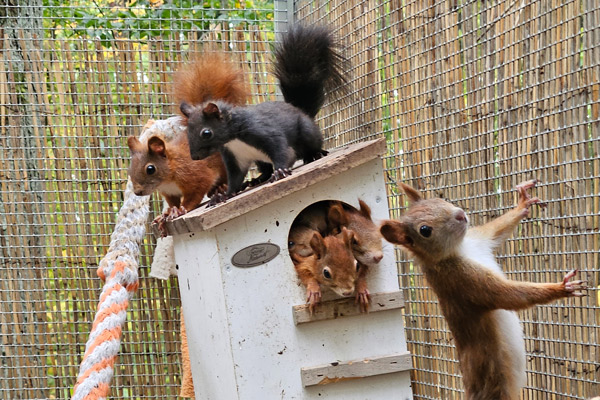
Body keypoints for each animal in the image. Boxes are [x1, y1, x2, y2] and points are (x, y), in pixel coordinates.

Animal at [126, 51, 248, 233]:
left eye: (150, 169)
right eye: (130, 168)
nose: (137, 192)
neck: (169, 174)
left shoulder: (196, 176)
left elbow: (194, 195)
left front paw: (182, 209)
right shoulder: (170, 193)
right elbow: (172, 203)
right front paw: (166, 214)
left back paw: (221, 187)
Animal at [179, 23, 346, 205]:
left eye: (206, 133)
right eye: (187, 131)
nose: (195, 156)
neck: (233, 139)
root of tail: (299, 109)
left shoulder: (261, 131)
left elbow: (283, 151)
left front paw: (280, 171)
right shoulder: (234, 157)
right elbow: (235, 178)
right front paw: (223, 195)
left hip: (307, 132)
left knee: (310, 145)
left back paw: (315, 154)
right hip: (260, 160)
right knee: (265, 168)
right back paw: (257, 179)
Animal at [380, 181, 584, 400]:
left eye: (437, 200)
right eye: (425, 230)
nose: (460, 214)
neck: (460, 249)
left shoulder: (479, 239)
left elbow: (495, 230)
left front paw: (522, 204)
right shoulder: (464, 281)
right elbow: (509, 295)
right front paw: (561, 287)